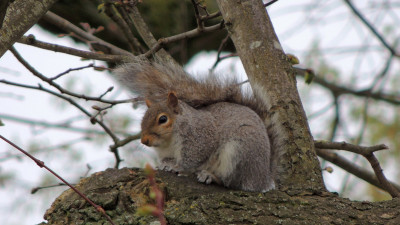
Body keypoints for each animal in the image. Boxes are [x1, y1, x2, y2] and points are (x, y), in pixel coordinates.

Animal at [115, 57, 278, 192]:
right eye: (143, 118)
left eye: (163, 119)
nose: (144, 140)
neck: (169, 142)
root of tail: (264, 178)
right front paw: (166, 164)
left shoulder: (200, 138)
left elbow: (192, 159)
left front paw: (176, 166)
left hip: (240, 153)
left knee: (232, 182)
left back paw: (211, 176)